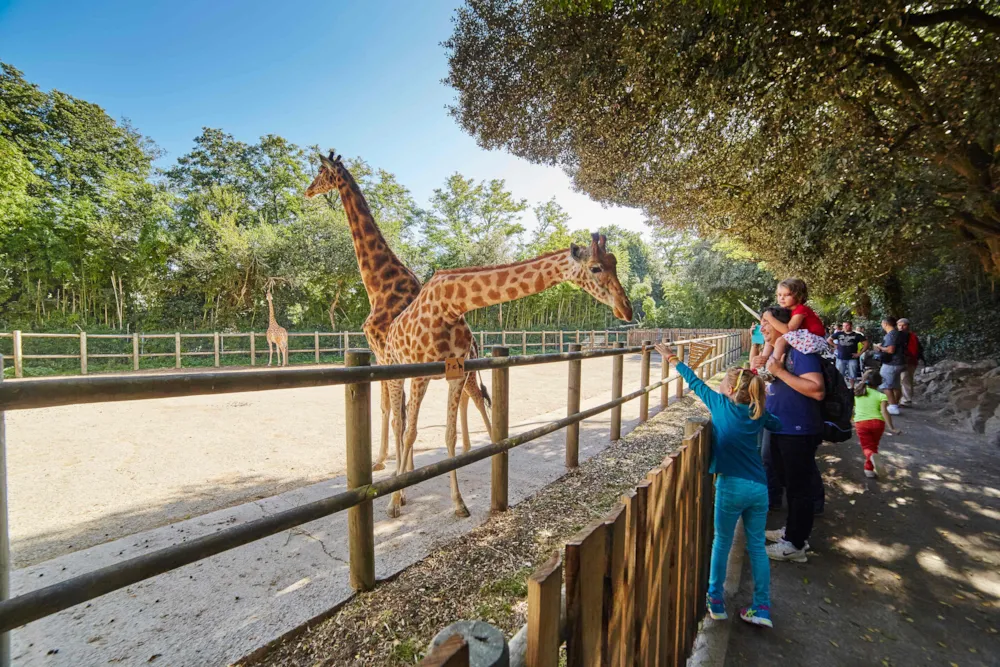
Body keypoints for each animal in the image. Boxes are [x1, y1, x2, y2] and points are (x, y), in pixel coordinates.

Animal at [302, 153, 494, 472]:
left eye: (320, 171)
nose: (307, 191)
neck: (379, 284)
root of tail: (476, 341)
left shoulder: (383, 353)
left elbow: (394, 413)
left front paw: (394, 467)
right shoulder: (388, 358)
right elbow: (393, 410)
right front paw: (392, 463)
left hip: (463, 370)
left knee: (478, 399)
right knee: (469, 400)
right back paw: (467, 448)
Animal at [382, 232, 632, 520]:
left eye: (614, 262)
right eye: (595, 267)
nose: (627, 309)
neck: (449, 305)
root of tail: (390, 331)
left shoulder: (456, 373)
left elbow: (449, 435)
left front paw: (459, 503)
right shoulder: (421, 375)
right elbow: (410, 433)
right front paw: (393, 502)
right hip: (395, 370)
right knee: (399, 424)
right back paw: (399, 491)